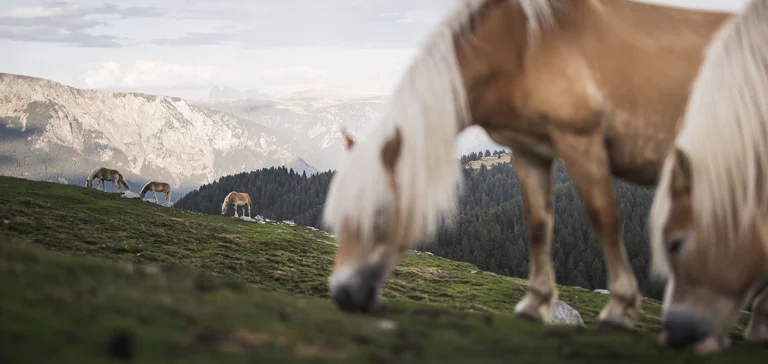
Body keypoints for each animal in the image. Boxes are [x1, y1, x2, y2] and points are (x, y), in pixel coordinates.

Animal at [320, 0, 736, 330]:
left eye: (380, 212)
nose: (343, 294)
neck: (525, 47)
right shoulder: (528, 151)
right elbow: (537, 225)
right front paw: (534, 305)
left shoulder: (581, 142)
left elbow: (604, 219)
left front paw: (618, 309)